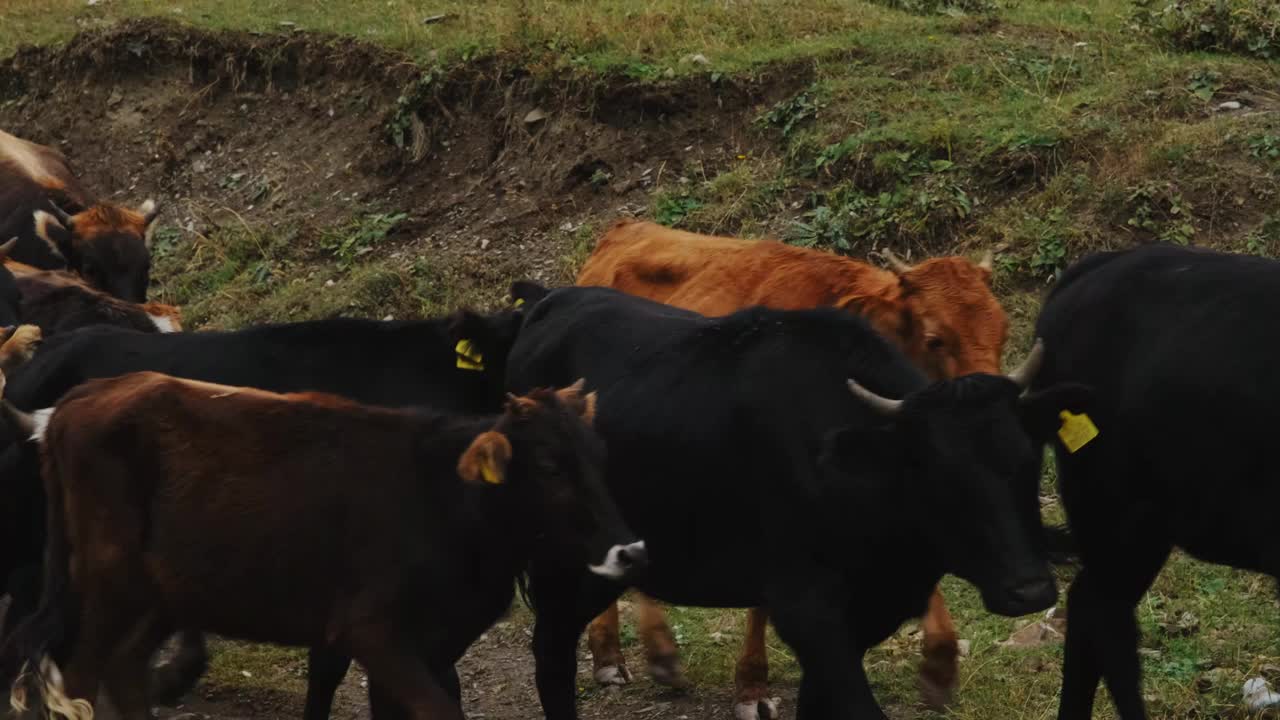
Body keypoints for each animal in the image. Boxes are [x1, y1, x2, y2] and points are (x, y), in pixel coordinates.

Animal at [0, 368, 640, 717]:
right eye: (551, 466)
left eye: (600, 454)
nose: (628, 551)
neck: (444, 498)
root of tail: (80, 398)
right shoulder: (371, 631)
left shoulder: (430, 645)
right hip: (109, 584)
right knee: (80, 676)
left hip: (161, 595)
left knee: (125, 672)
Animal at [499, 283, 1080, 712]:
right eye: (939, 474)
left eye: (1028, 461)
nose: (1030, 590)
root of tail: (549, 301)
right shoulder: (807, 608)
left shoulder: (868, 611)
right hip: (558, 564)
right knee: (551, 652)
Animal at [576, 219, 1003, 717]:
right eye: (936, 338)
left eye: (1003, 330)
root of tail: (623, 230)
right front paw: (752, 686)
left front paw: (940, 662)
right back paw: (613, 655)